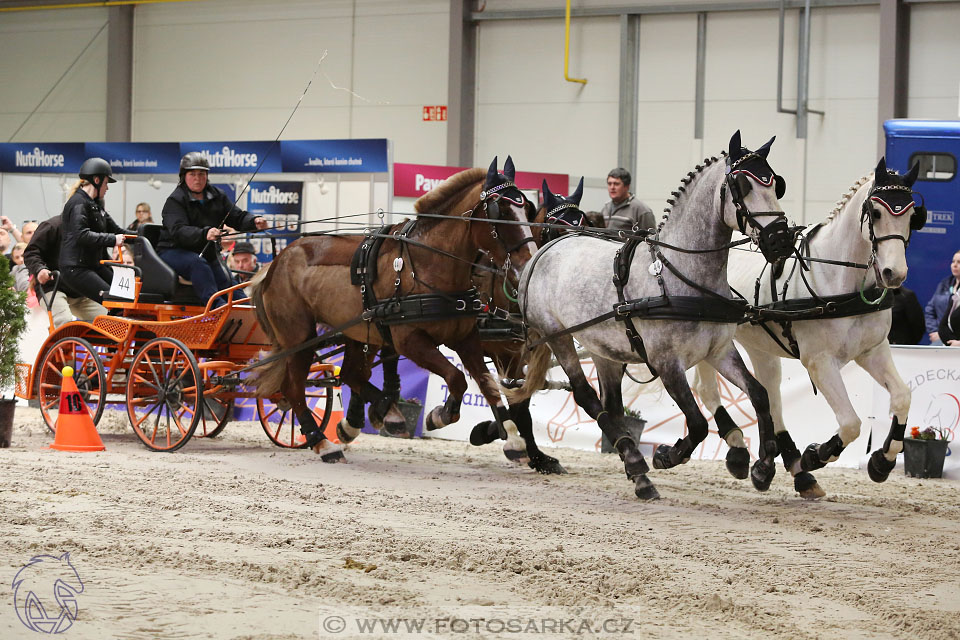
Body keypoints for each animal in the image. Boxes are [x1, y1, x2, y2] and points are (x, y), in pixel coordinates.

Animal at [253, 158, 540, 462]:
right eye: (501, 211)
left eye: (527, 209)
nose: (528, 262)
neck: (430, 264)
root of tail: (277, 262)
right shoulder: (409, 341)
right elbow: (457, 378)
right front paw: (440, 415)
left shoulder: (466, 338)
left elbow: (487, 383)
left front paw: (513, 439)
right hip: (300, 337)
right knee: (295, 388)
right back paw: (324, 442)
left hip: (358, 332)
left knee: (350, 374)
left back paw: (382, 412)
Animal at [510, 131, 796, 500]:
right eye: (742, 186)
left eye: (776, 184)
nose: (781, 239)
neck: (682, 277)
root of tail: (544, 250)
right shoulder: (666, 362)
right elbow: (698, 423)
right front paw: (666, 455)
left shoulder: (719, 351)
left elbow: (760, 395)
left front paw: (762, 467)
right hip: (557, 335)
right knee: (586, 396)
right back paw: (637, 464)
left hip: (604, 348)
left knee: (612, 403)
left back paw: (633, 464)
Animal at [692, 158, 928, 498]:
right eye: (876, 212)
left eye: (912, 214)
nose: (893, 273)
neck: (838, 281)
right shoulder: (820, 362)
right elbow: (850, 423)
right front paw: (816, 454)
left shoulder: (873, 351)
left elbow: (902, 397)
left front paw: (882, 461)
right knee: (708, 389)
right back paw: (755, 456)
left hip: (760, 344)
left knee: (769, 389)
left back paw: (778, 467)